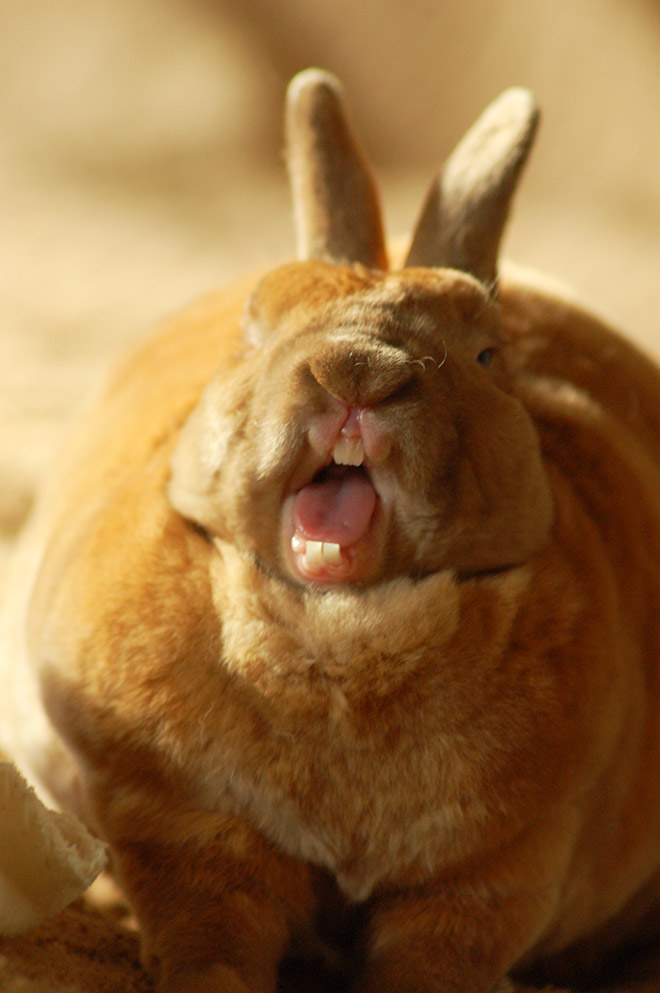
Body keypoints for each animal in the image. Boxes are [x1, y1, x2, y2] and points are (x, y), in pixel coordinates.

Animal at [6, 66, 660, 988]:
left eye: (488, 354)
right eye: (253, 325)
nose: (356, 370)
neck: (339, 636)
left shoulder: (501, 870)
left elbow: (433, 962)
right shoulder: (184, 828)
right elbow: (210, 936)